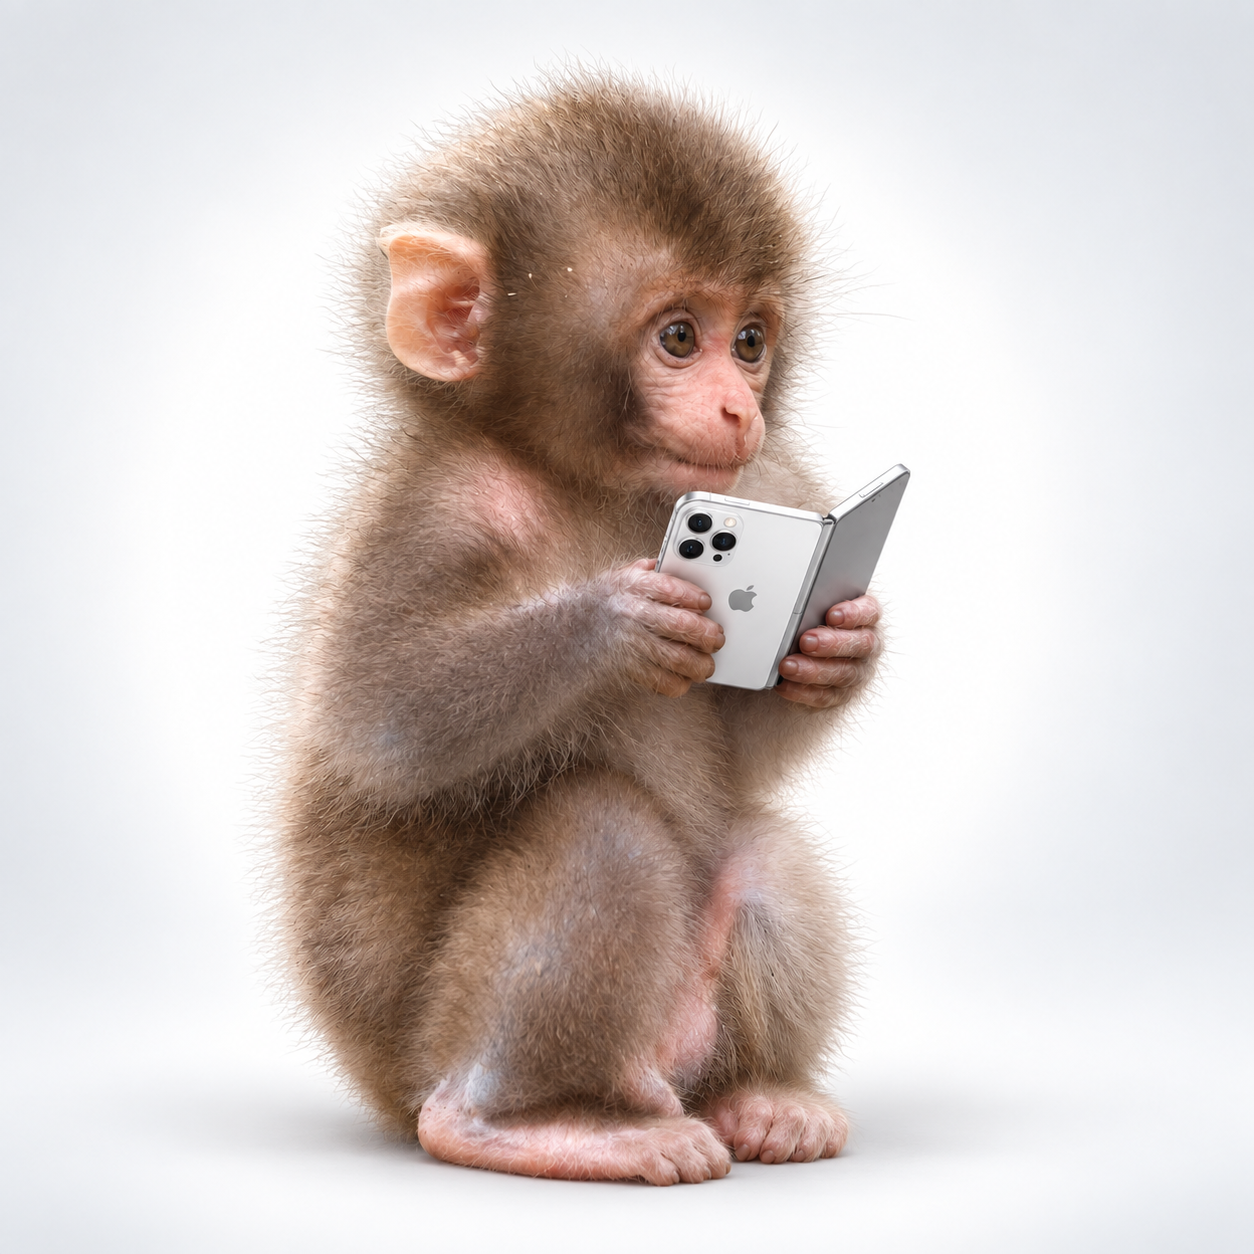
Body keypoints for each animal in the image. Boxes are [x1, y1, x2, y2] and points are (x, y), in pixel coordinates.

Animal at [277, 74, 884, 1186]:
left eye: (750, 341)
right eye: (679, 338)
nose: (739, 410)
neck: (593, 485)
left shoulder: (768, 482)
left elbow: (745, 750)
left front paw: (842, 643)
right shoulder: (432, 508)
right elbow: (379, 723)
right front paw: (620, 621)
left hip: (687, 1036)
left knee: (762, 855)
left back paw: (760, 1101)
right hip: (418, 1056)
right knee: (601, 826)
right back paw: (515, 1122)